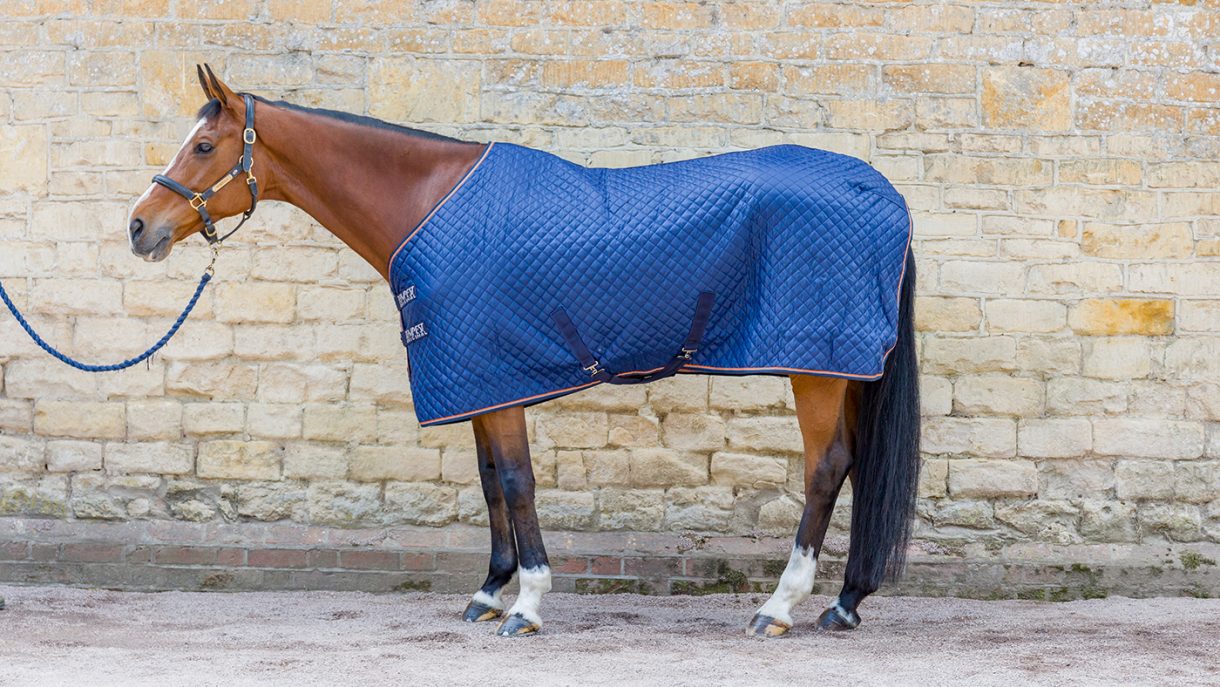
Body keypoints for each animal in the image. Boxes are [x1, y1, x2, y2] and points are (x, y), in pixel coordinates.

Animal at [127, 65, 920, 638]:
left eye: (203, 147)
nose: (139, 227)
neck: (427, 203)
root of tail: (881, 192)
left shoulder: (498, 376)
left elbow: (516, 481)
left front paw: (528, 604)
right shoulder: (476, 377)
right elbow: (489, 483)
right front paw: (488, 591)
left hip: (816, 367)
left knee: (826, 468)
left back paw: (778, 607)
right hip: (842, 370)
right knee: (855, 465)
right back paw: (845, 602)